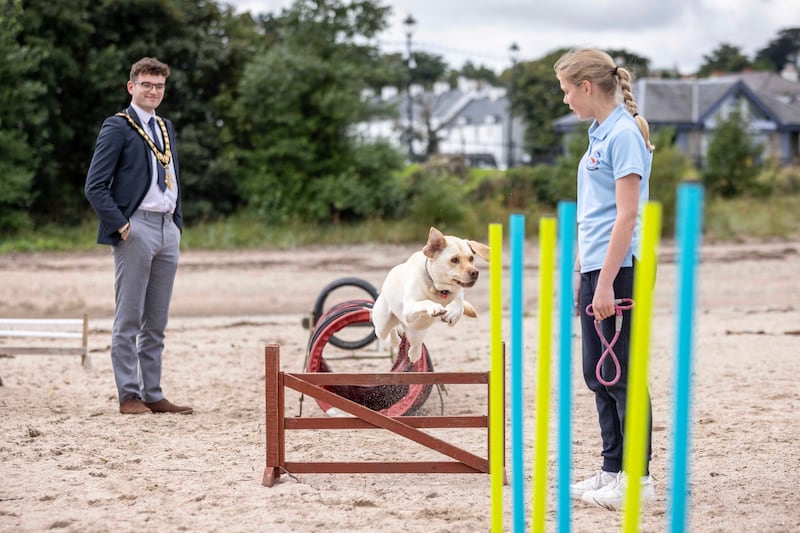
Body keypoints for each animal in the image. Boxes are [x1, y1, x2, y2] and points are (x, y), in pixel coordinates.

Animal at [372, 227, 490, 364]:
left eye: (471, 258)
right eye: (454, 260)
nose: (475, 272)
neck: (439, 290)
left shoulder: (458, 294)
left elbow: (459, 302)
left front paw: (451, 314)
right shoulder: (408, 309)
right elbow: (426, 302)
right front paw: (435, 307)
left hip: (417, 331)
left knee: (415, 344)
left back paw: (414, 354)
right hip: (383, 324)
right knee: (386, 334)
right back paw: (395, 340)